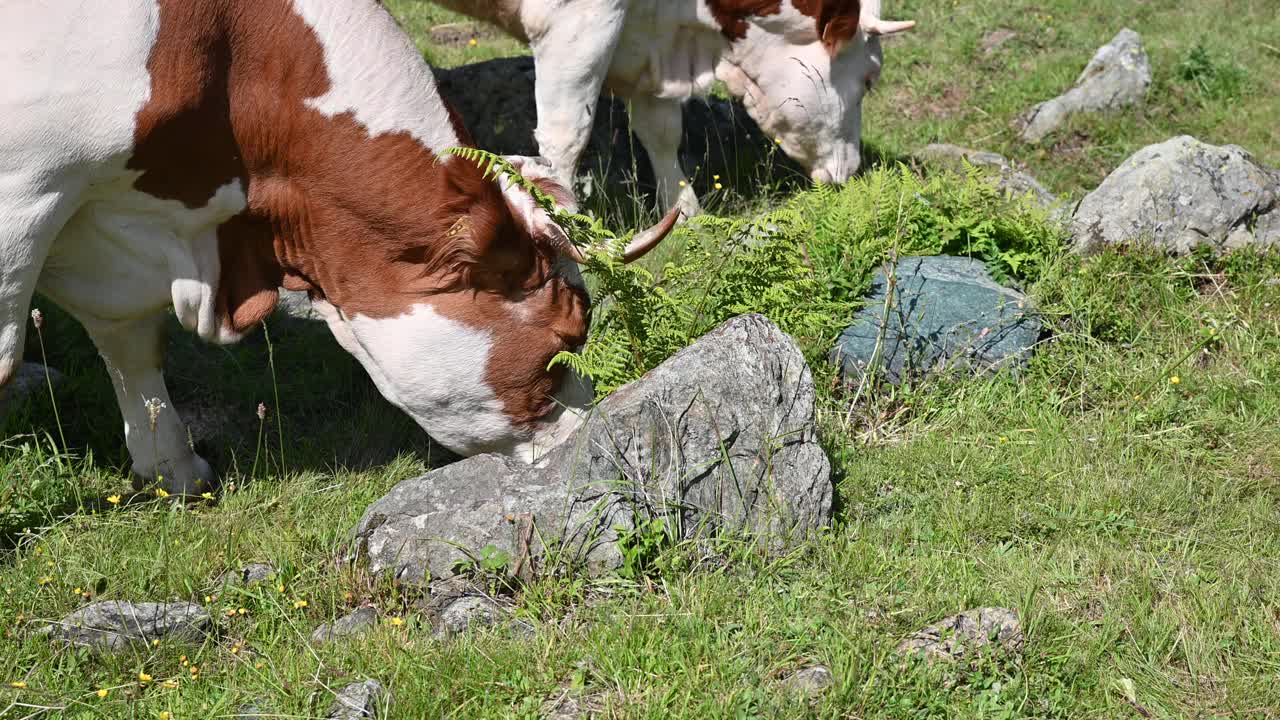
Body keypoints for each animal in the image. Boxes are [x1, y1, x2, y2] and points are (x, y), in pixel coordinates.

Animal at [435, 0, 916, 212]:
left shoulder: (647, 45)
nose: (851, 170)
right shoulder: (579, 20)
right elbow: (565, 137)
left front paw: (686, 216)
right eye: (869, 79)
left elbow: (661, 131)